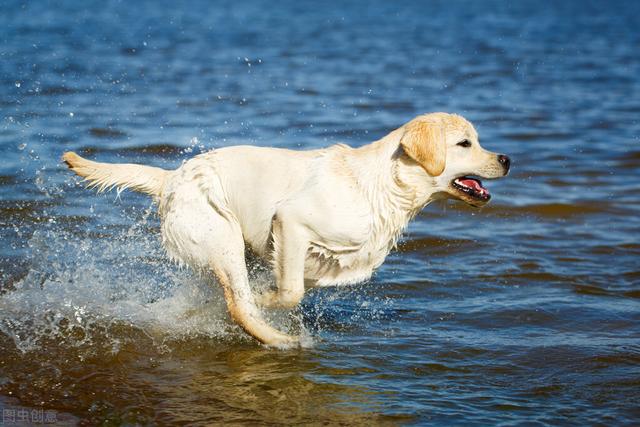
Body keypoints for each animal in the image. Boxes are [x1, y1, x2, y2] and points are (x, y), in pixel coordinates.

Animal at [63, 113, 510, 348]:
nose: (506, 159)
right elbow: (287, 292)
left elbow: (291, 287)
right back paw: (280, 339)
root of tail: (171, 177)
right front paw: (266, 299)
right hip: (221, 235)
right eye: (465, 144)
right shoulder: (292, 222)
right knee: (238, 305)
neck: (383, 187)